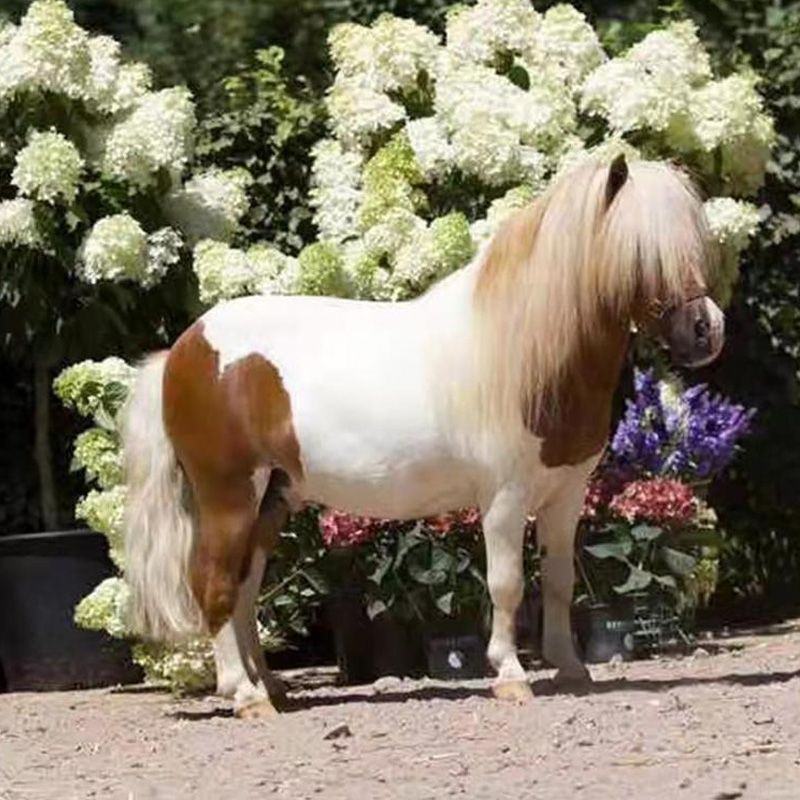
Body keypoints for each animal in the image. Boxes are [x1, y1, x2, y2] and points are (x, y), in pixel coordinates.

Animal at [122, 154, 724, 718]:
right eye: (641, 254)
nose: (706, 331)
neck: (524, 352)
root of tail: (183, 348)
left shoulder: (566, 494)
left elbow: (558, 580)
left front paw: (571, 668)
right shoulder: (504, 499)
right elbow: (507, 583)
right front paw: (510, 675)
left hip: (269, 500)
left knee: (245, 589)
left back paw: (269, 686)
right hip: (228, 496)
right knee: (215, 584)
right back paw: (244, 695)